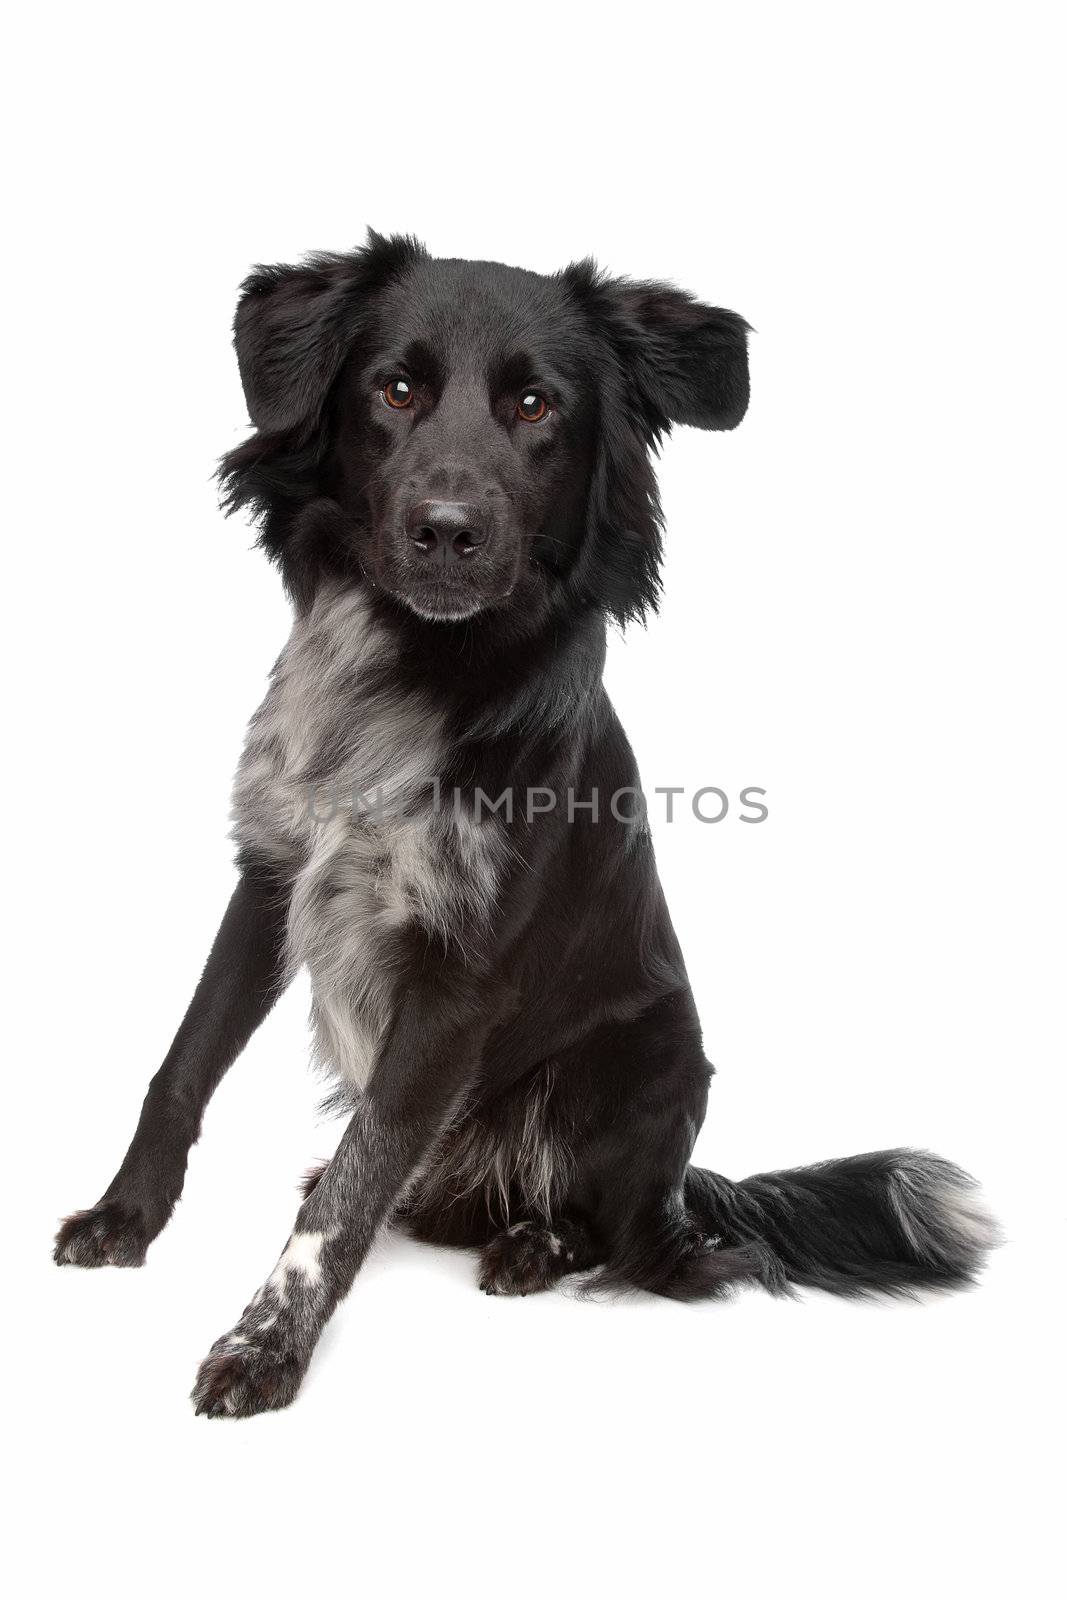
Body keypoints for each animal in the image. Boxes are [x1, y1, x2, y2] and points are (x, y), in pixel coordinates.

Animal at [51, 228, 1004, 1414]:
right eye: (395, 388)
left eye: (535, 405)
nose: (446, 532)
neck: (404, 668)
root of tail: (687, 1192)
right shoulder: (269, 875)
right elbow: (182, 1066)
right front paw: (123, 1216)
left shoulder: (455, 975)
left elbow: (349, 1193)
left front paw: (265, 1343)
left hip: (653, 1061)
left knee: (631, 1240)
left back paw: (535, 1245)